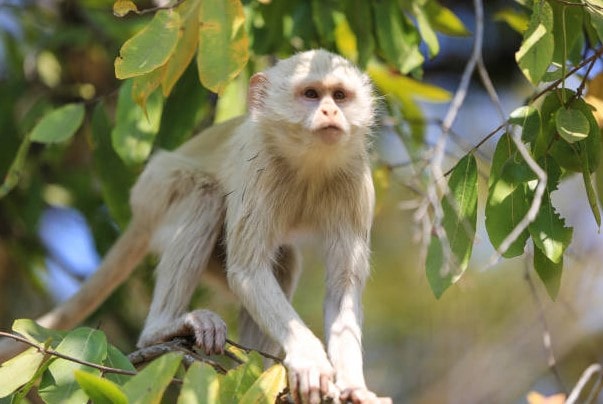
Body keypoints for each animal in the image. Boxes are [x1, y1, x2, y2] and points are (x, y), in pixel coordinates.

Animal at [0, 50, 386, 404]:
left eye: (339, 96)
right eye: (310, 94)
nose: (330, 112)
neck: (309, 162)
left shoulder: (356, 178)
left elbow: (342, 288)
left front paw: (353, 386)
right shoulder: (260, 164)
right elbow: (248, 271)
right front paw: (308, 358)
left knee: (285, 259)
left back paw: (261, 371)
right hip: (156, 189)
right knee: (205, 196)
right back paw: (160, 331)